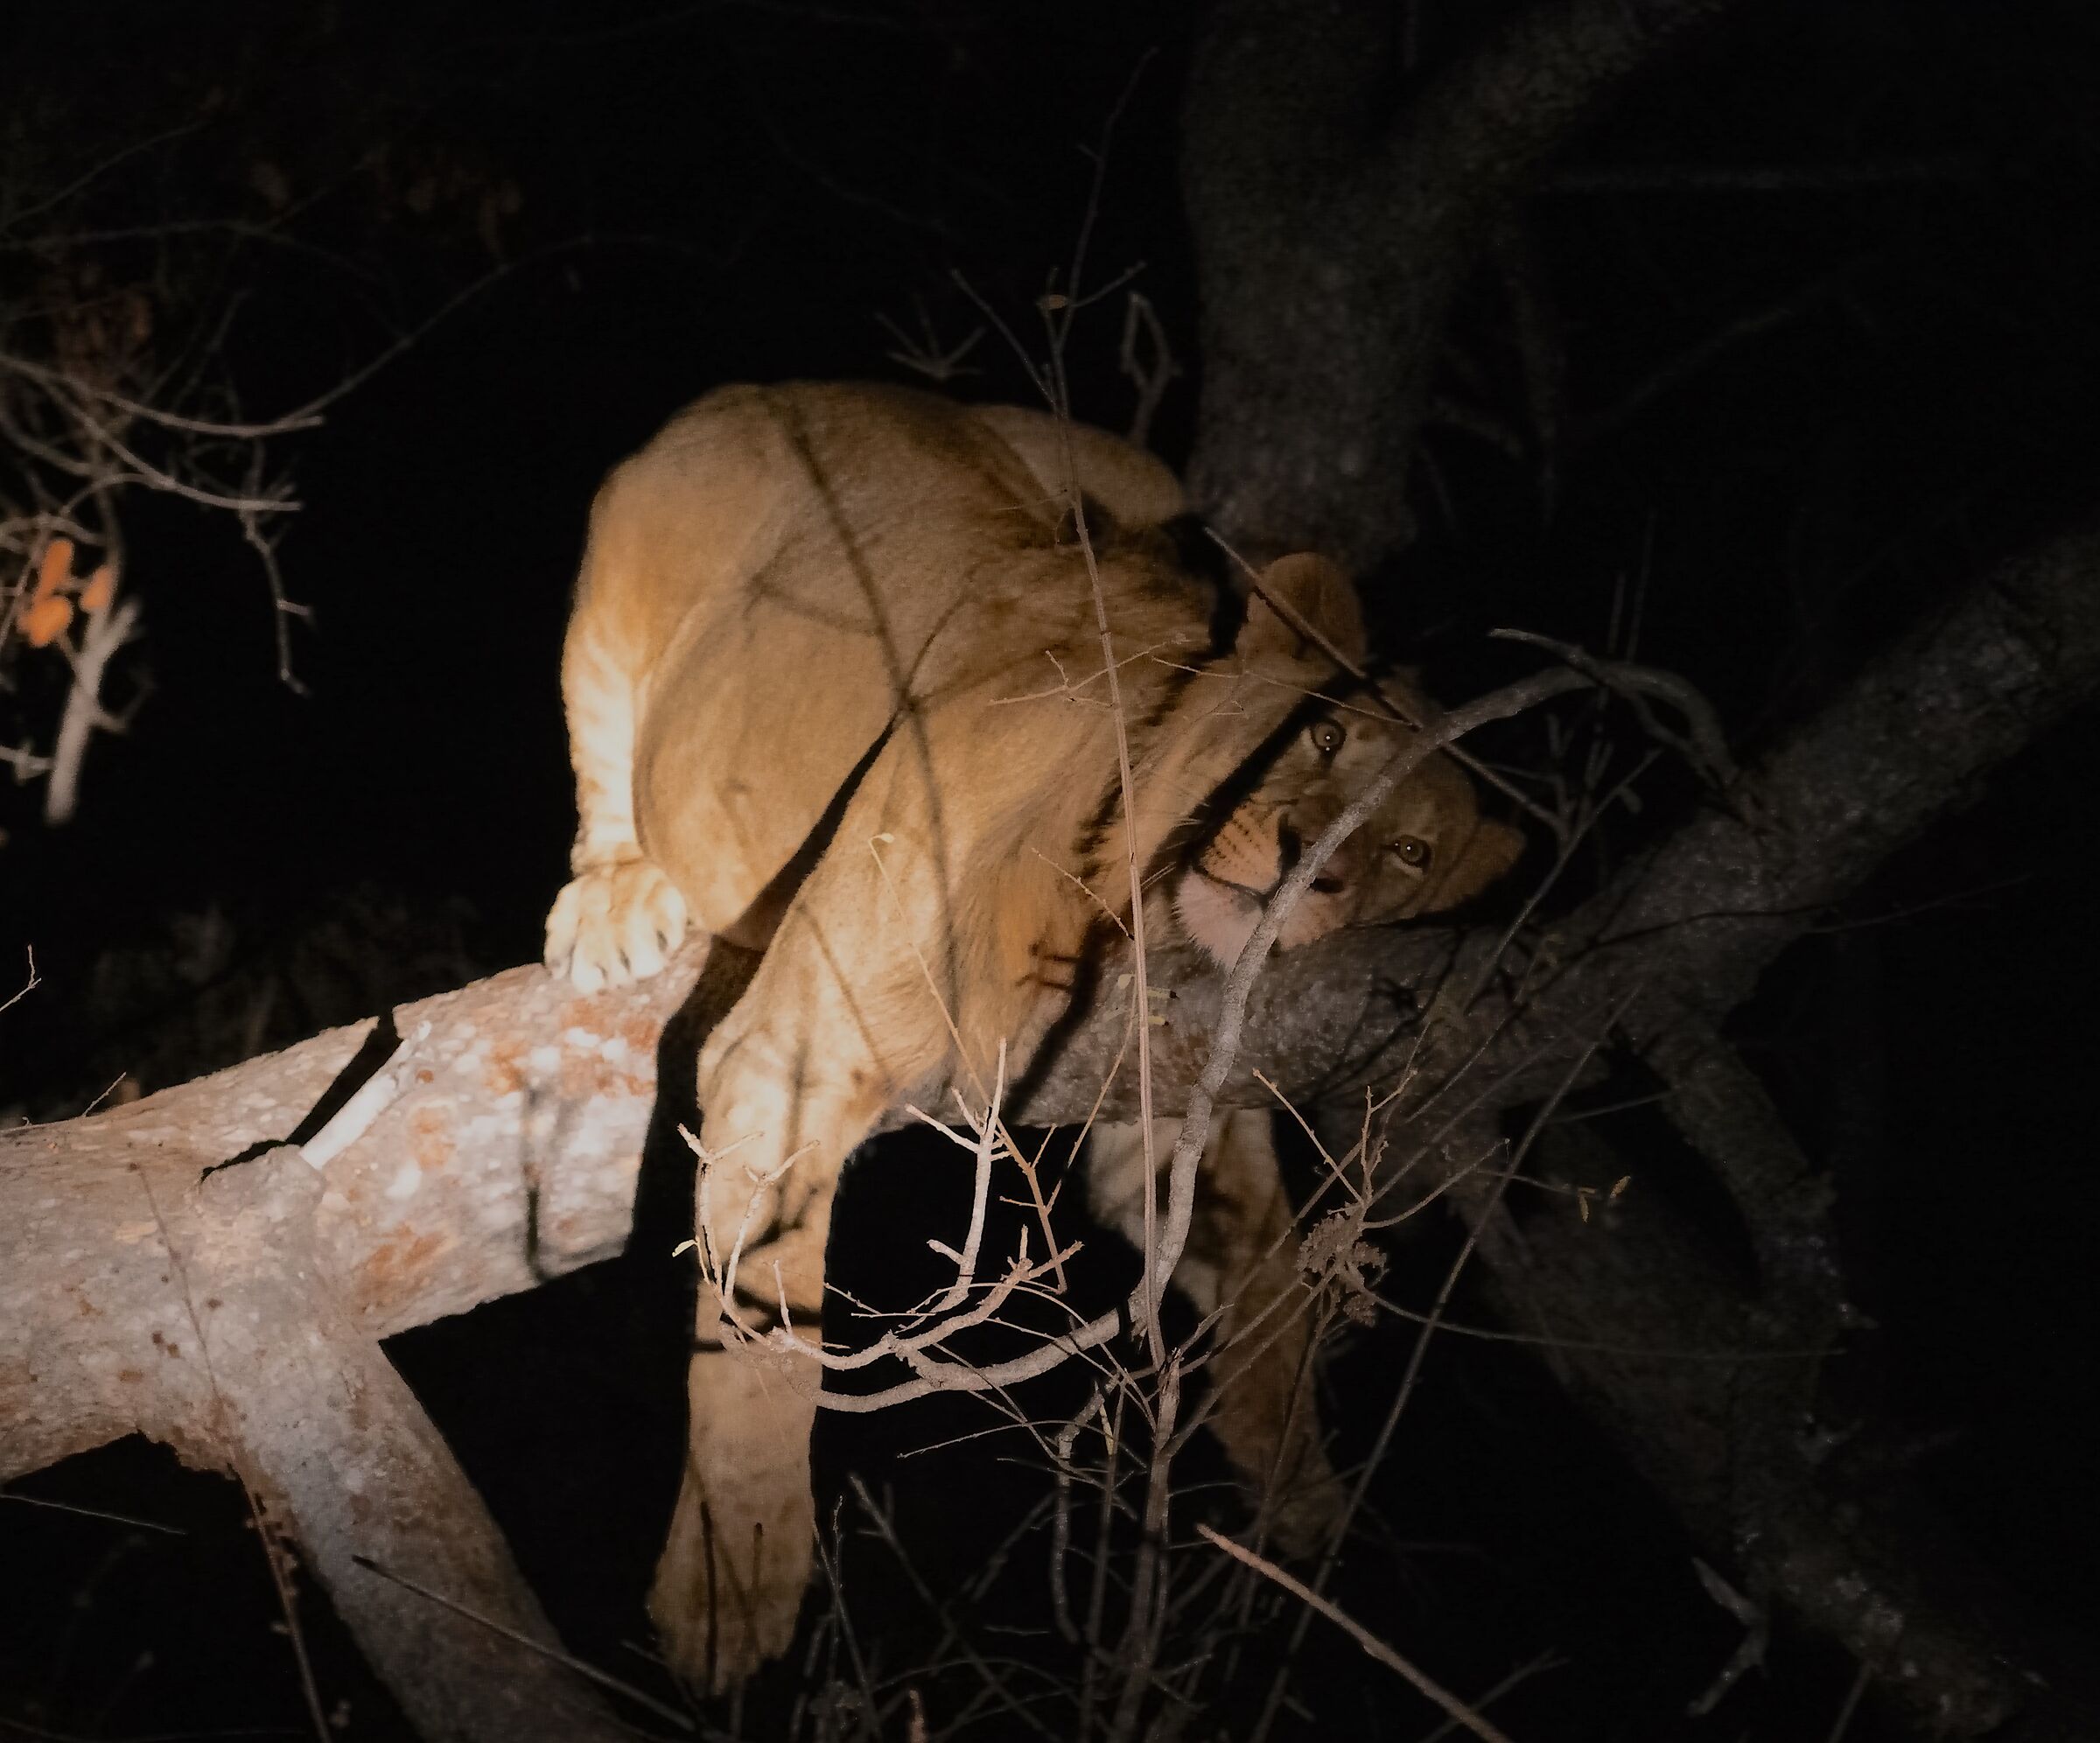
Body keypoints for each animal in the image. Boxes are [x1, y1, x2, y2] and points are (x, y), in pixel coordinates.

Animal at [542, 381, 1521, 1693]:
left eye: (1411, 852)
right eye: (1321, 741)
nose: (1306, 864)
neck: (1142, 914)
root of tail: (763, 387)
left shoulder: (1172, 1101)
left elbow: (1267, 1277)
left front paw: (1303, 1494)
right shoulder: (802, 1053)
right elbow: (767, 1343)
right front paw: (727, 1600)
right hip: (616, 577)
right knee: (605, 762)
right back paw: (617, 898)